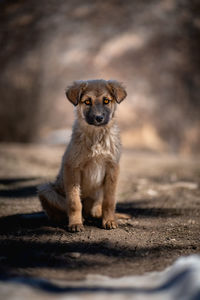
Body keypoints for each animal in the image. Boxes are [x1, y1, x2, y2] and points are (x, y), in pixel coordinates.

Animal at [38, 79, 126, 232]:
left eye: (106, 101)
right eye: (87, 102)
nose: (98, 118)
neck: (97, 137)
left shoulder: (112, 168)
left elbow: (109, 201)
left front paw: (109, 220)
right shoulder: (72, 167)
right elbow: (74, 202)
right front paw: (75, 223)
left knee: (95, 210)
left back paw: (99, 216)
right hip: (46, 190)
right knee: (59, 211)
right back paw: (74, 219)